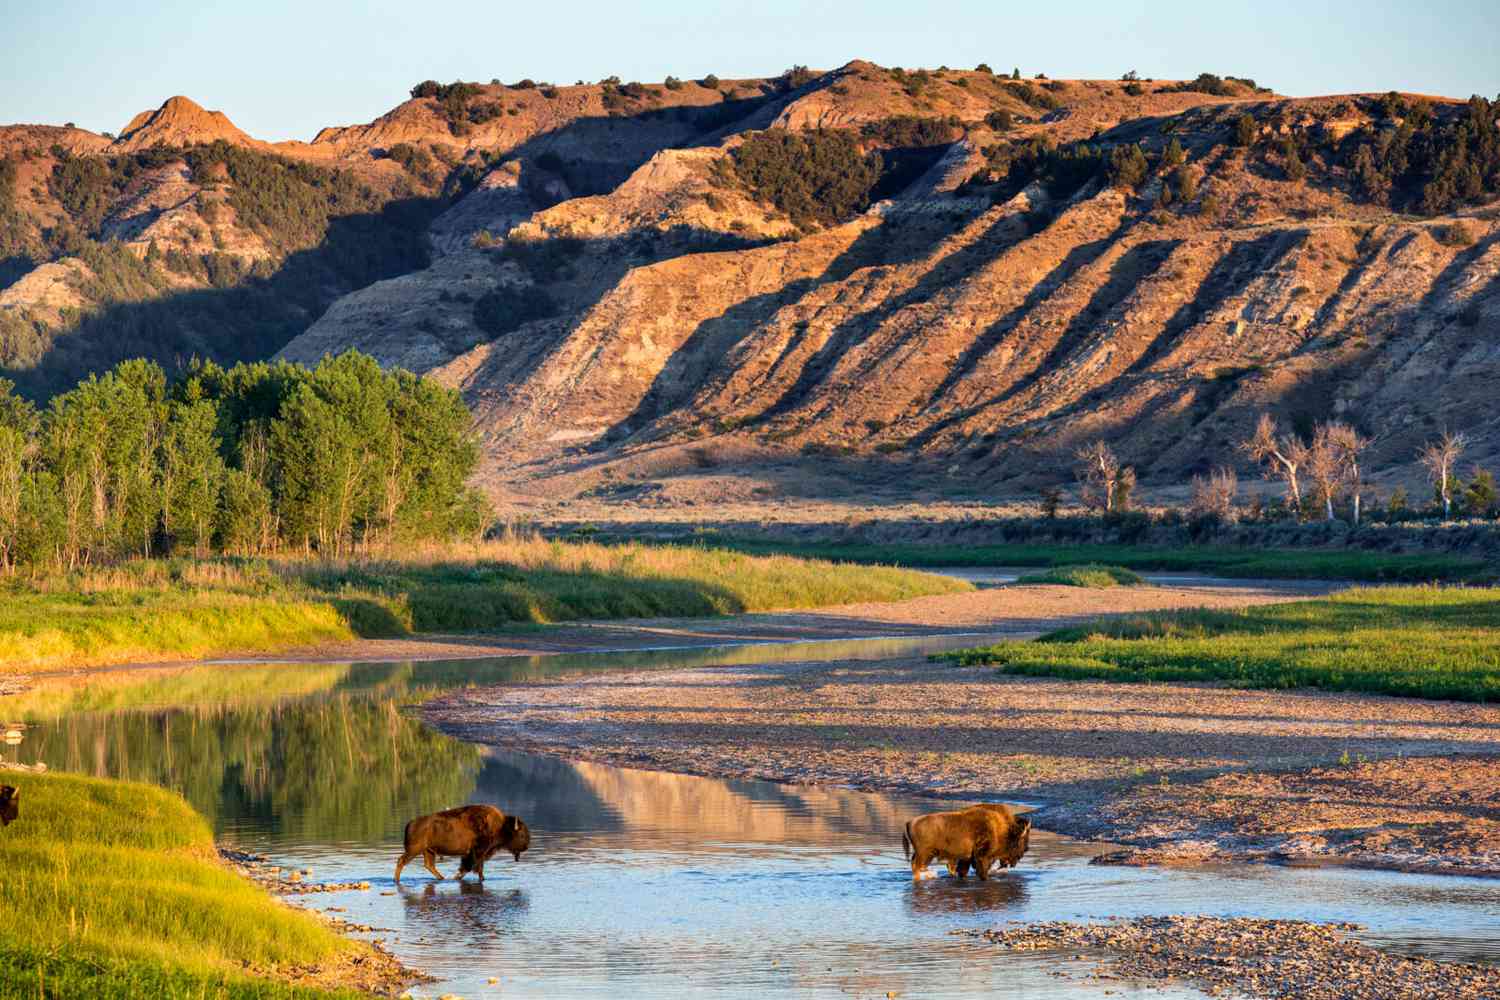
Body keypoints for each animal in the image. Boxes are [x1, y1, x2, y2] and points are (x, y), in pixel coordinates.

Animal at [396, 803, 531, 881]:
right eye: (522, 834)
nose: (526, 846)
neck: (501, 826)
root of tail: (411, 823)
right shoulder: (478, 852)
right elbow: (474, 867)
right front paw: (475, 878)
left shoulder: (476, 854)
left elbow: (472, 867)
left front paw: (458, 877)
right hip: (414, 850)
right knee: (401, 861)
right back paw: (396, 880)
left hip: (428, 851)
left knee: (429, 865)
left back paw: (442, 878)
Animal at [900, 803, 1032, 881]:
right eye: (1022, 840)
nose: (1025, 851)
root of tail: (909, 822)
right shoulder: (982, 857)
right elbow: (982, 871)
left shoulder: (966, 858)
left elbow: (962, 871)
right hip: (925, 854)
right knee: (917, 866)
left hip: (921, 854)